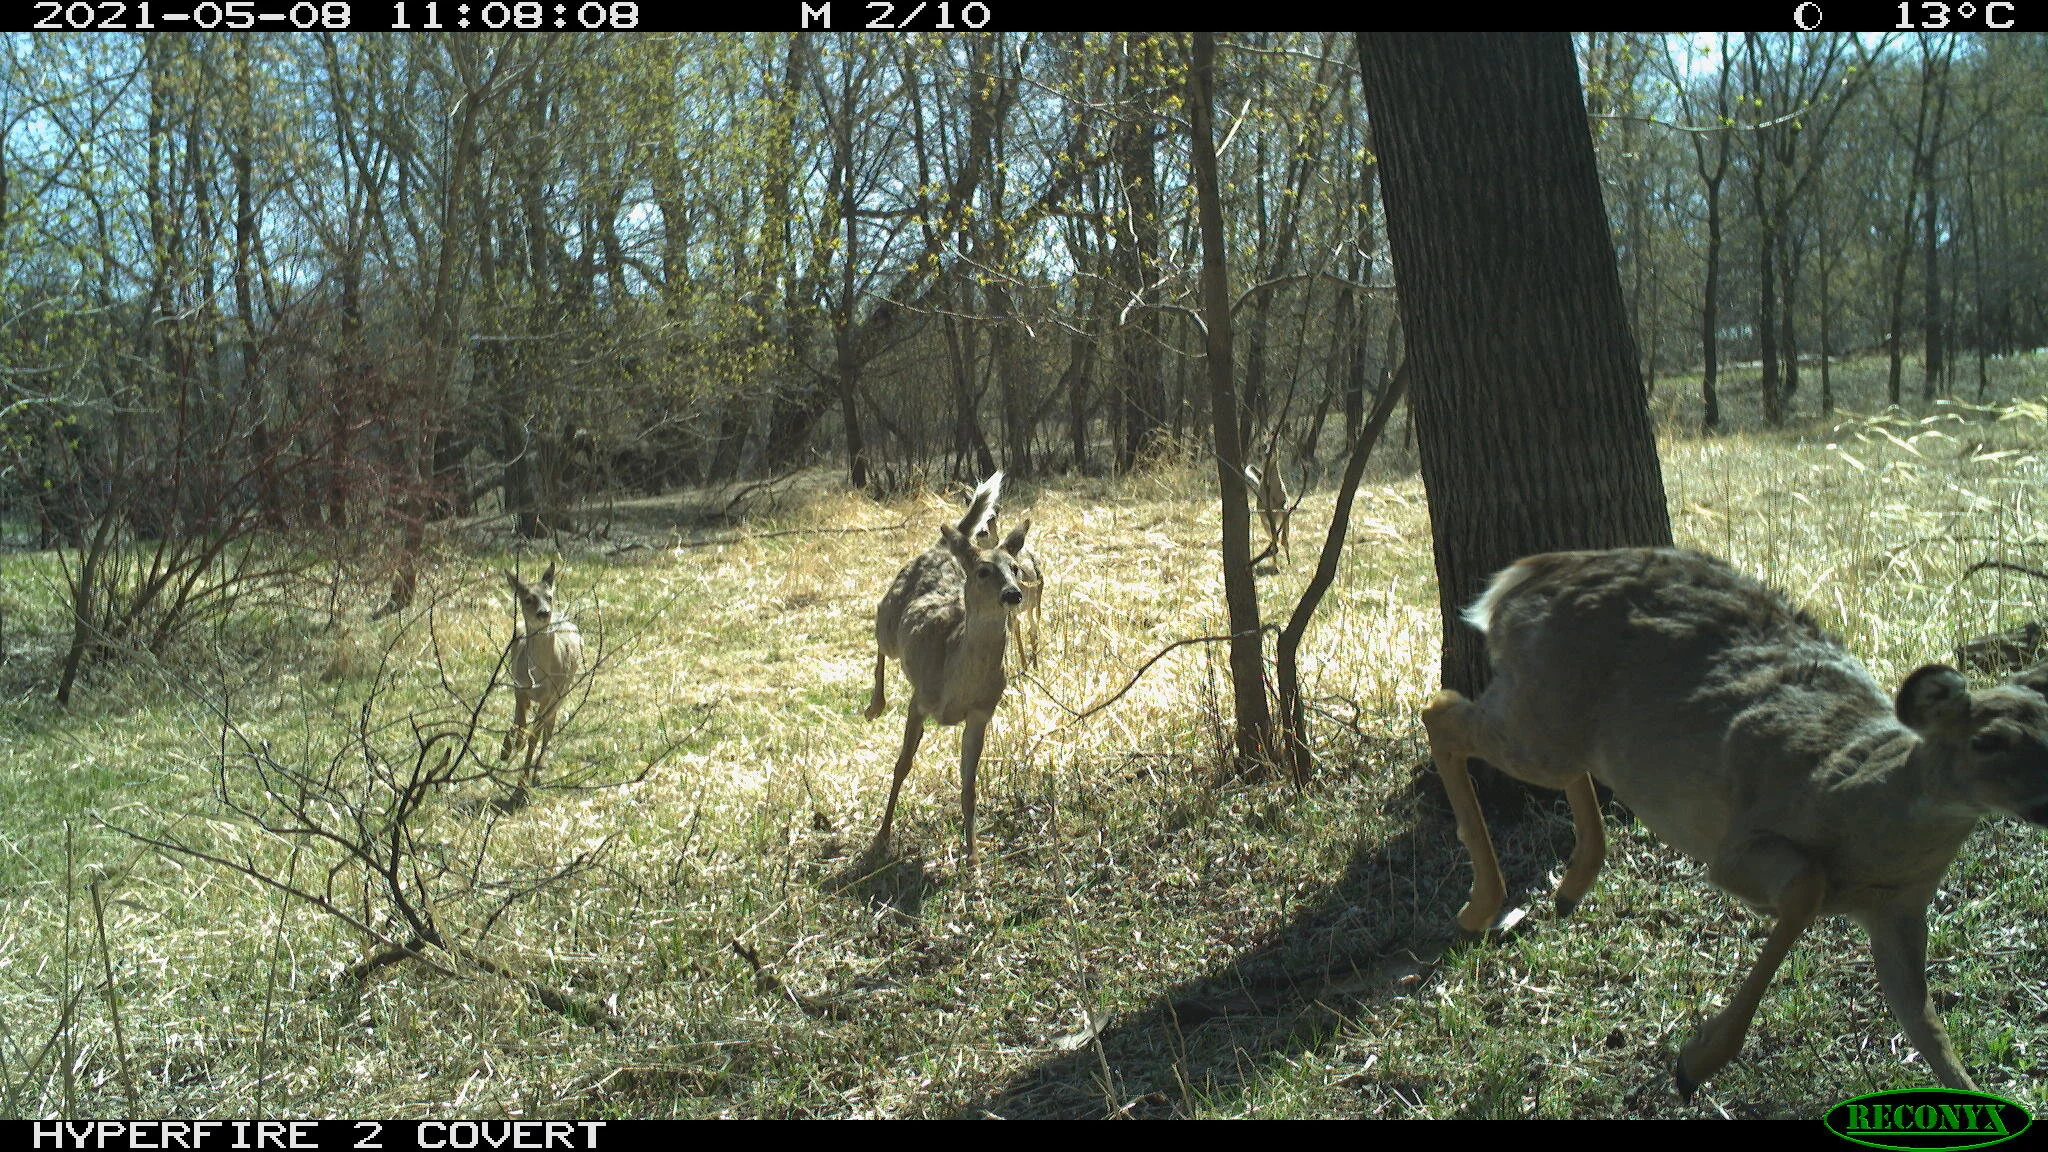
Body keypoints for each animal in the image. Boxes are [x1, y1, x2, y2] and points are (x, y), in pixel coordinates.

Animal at [501, 563, 585, 787]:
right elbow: (520, 723)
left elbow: (534, 735)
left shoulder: (550, 695)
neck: (538, 675)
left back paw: (537, 771)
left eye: (549, 596)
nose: (544, 613)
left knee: (549, 728)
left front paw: (523, 780)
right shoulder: (519, 687)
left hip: (563, 692)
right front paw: (509, 748)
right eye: (528, 599)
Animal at [864, 472, 1030, 867]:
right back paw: (874, 705)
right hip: (889, 619)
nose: (1013, 594)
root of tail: (944, 544)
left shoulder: (982, 712)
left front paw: (973, 856)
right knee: (878, 641)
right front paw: (881, 838)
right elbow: (901, 766)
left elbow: (969, 784)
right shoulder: (920, 698)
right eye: (984, 571)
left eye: (1015, 568)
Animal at [1420, 547, 2048, 1099]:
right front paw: (1695, 1062)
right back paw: (1480, 907)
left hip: (1558, 722)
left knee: (1538, 751)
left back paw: (1570, 887)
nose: (2043, 797)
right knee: (1441, 711)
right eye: (1987, 741)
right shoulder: (1741, 844)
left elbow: (1927, 1026)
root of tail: (1522, 577)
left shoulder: (1901, 910)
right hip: (1539, 723)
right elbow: (1806, 888)